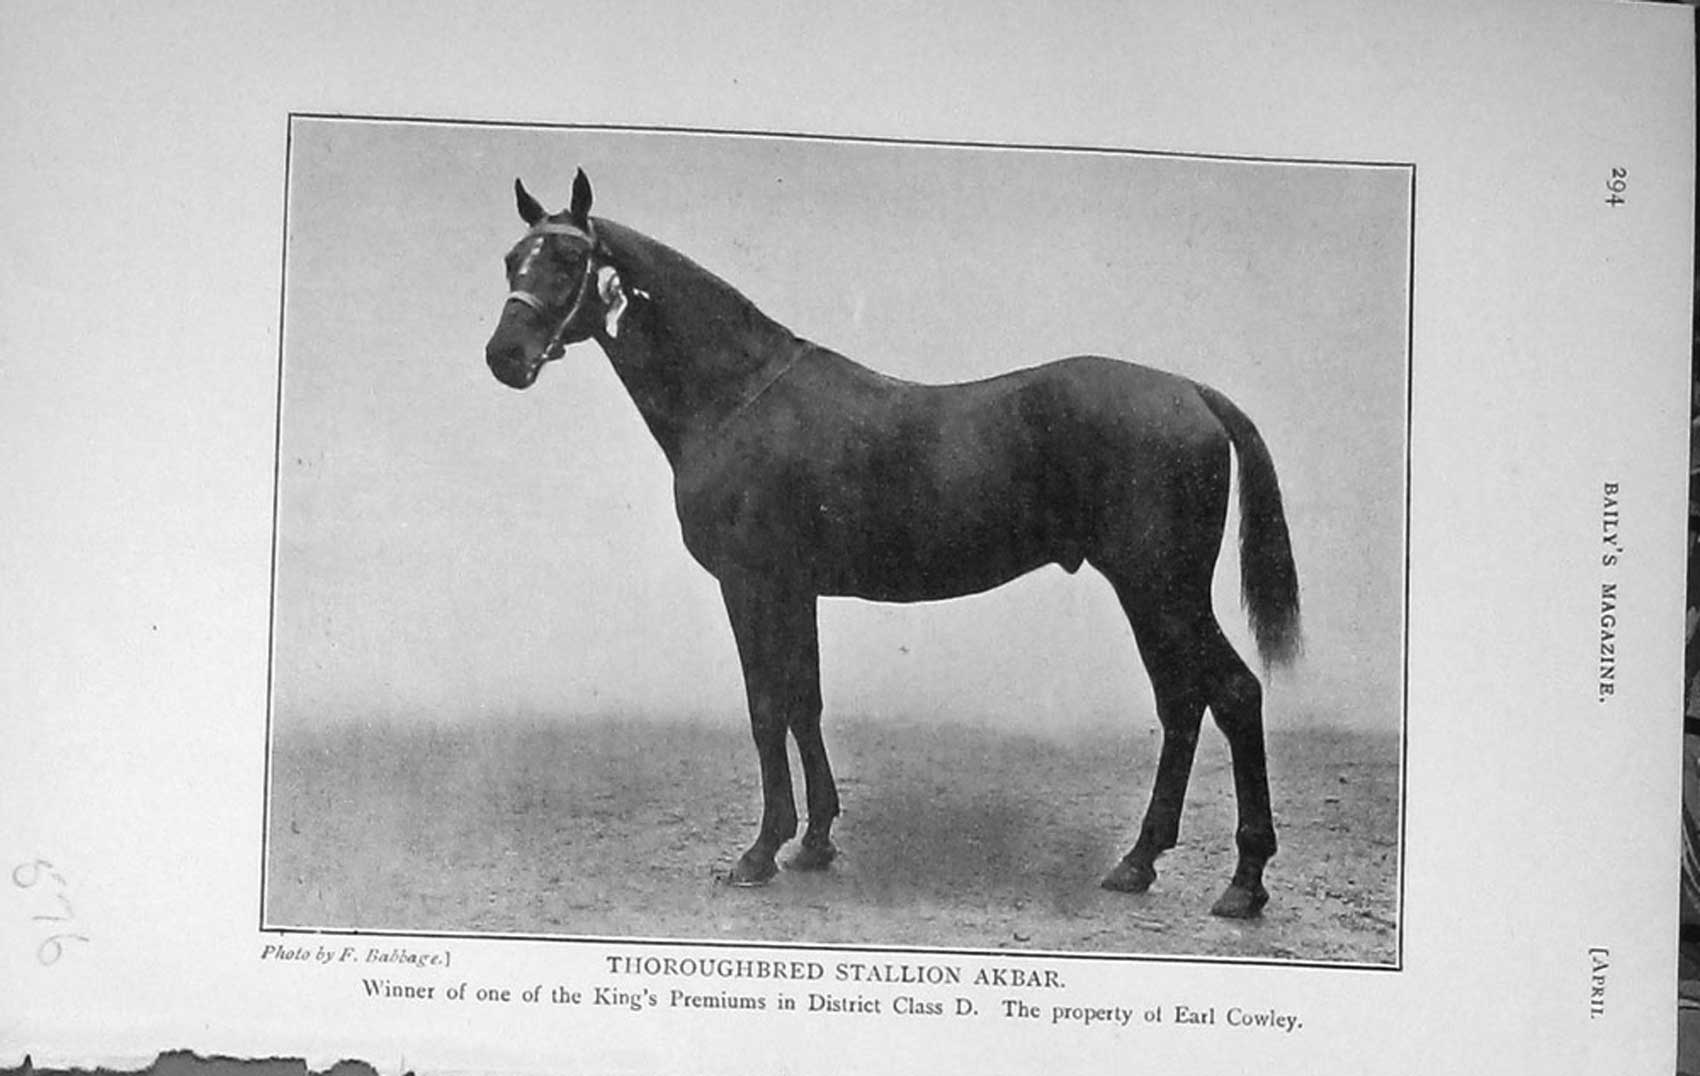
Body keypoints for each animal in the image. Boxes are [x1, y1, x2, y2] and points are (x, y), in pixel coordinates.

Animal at [483, 169, 1301, 919]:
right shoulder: (795, 589)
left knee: (1232, 694)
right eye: (512, 259)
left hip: (1161, 588)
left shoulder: (751, 584)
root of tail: (1193, 393)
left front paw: (760, 852)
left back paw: (1243, 882)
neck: (736, 397)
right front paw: (814, 842)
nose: (505, 356)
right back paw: (1139, 862)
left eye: (568, 258)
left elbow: (765, 706)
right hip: (1150, 592)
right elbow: (804, 702)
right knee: (1182, 704)